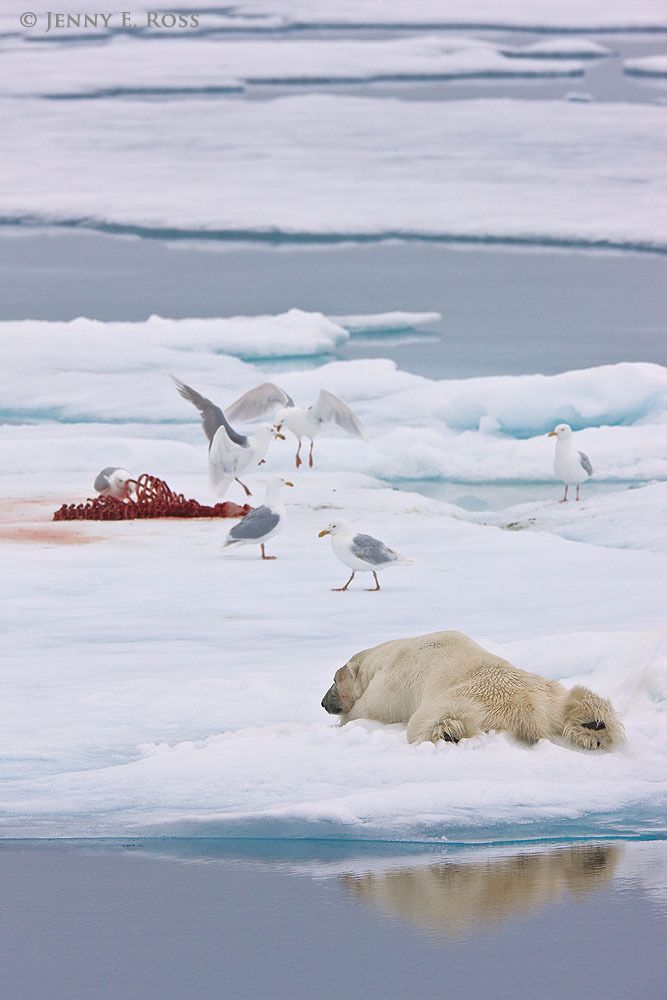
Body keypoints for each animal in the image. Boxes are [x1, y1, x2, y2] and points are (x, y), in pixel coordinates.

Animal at [320, 630, 624, 751]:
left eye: (334, 680)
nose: (324, 703)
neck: (382, 658)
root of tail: (529, 711)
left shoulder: (392, 683)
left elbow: (369, 709)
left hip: (466, 698)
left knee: (431, 720)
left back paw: (449, 733)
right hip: (550, 693)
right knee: (579, 699)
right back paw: (594, 725)